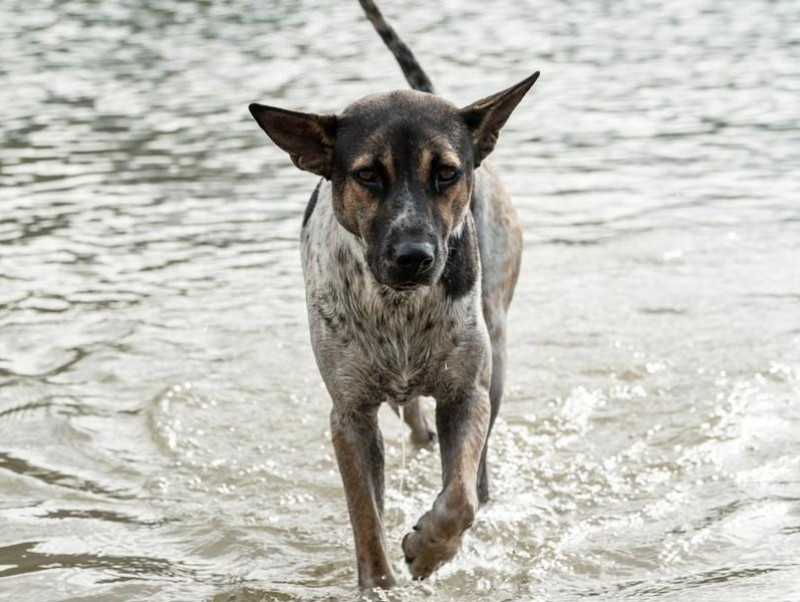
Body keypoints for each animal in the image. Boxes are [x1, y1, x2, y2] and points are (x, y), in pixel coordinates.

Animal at [247, 0, 540, 584]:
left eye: (446, 173)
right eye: (368, 175)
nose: (414, 256)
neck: (398, 309)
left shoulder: (466, 393)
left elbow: (458, 499)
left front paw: (428, 548)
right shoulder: (349, 416)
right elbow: (367, 523)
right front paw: (380, 581)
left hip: (495, 343)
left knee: (476, 470)